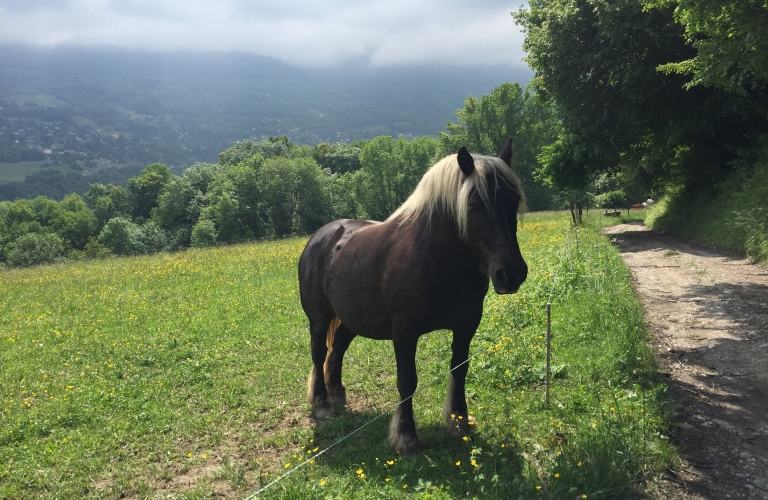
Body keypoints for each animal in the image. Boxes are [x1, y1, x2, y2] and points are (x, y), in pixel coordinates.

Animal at [298, 139, 528, 456]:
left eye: (513, 200)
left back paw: (337, 393)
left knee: (338, 349)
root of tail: (322, 236)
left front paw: (459, 421)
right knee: (319, 352)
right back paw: (322, 403)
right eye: (474, 205)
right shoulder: (405, 331)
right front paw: (406, 436)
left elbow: (460, 369)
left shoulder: (468, 324)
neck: (440, 257)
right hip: (319, 318)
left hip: (352, 317)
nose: (511, 273)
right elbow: (407, 381)